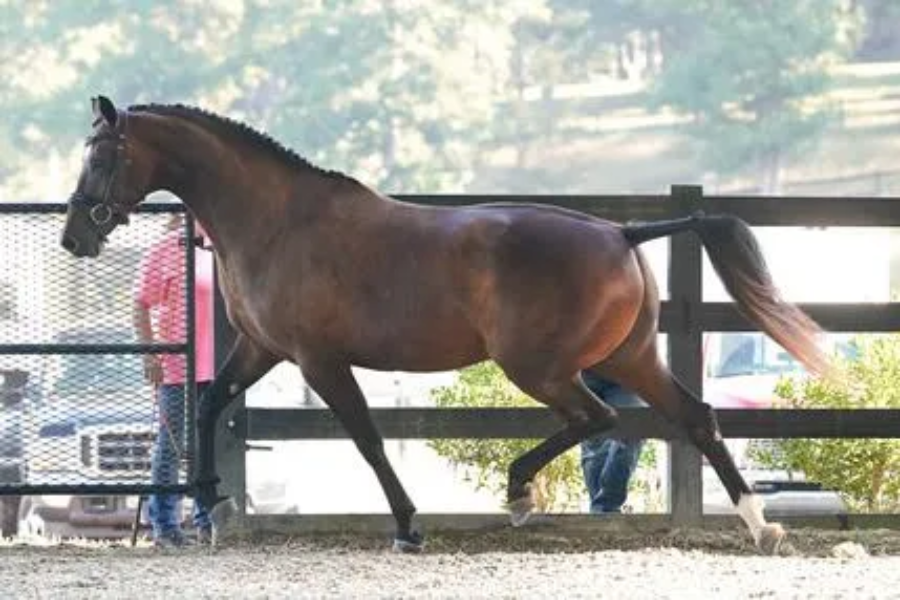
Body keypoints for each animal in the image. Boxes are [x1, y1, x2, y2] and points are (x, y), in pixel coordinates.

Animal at [61, 95, 834, 554]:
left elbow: (369, 441)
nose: (75, 236)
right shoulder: (260, 349)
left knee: (599, 420)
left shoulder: (318, 360)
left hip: (542, 367)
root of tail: (622, 233)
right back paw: (761, 527)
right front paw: (207, 503)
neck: (277, 221)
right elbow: (207, 404)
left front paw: (408, 527)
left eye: (100, 155)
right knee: (695, 417)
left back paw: (520, 493)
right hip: (630, 357)